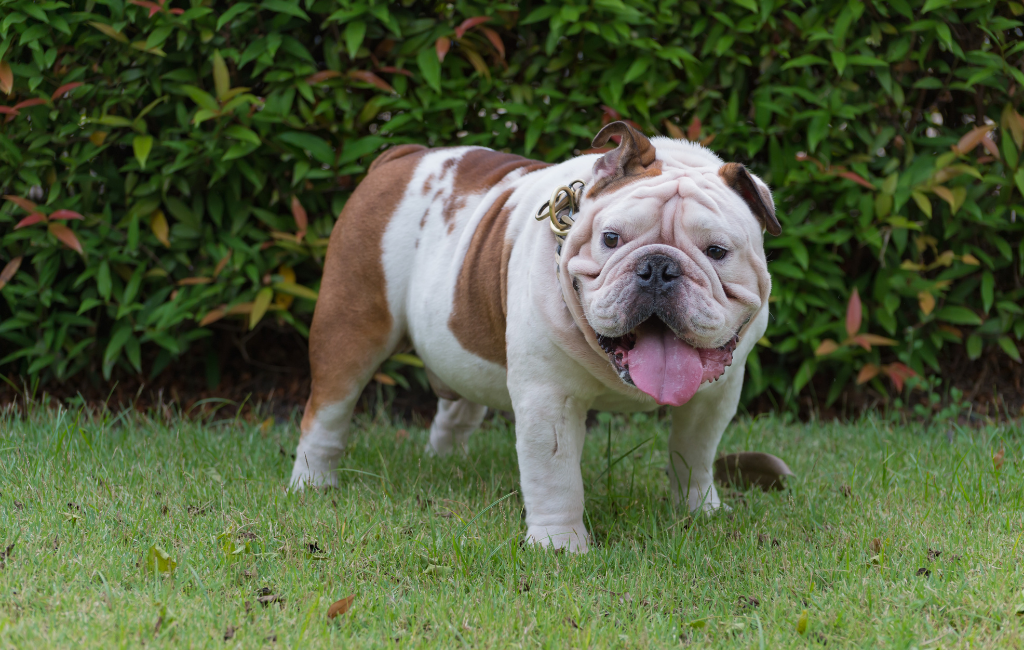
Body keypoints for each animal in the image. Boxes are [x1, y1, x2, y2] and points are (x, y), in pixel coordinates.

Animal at [292, 123, 778, 552]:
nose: (658, 267)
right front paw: (560, 545)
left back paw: (448, 462)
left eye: (717, 251)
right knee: (328, 412)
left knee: (456, 407)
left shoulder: (715, 398)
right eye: (610, 238)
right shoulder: (549, 401)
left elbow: (693, 454)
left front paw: (700, 511)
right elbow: (555, 477)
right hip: (350, 327)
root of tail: (402, 156)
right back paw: (312, 483)